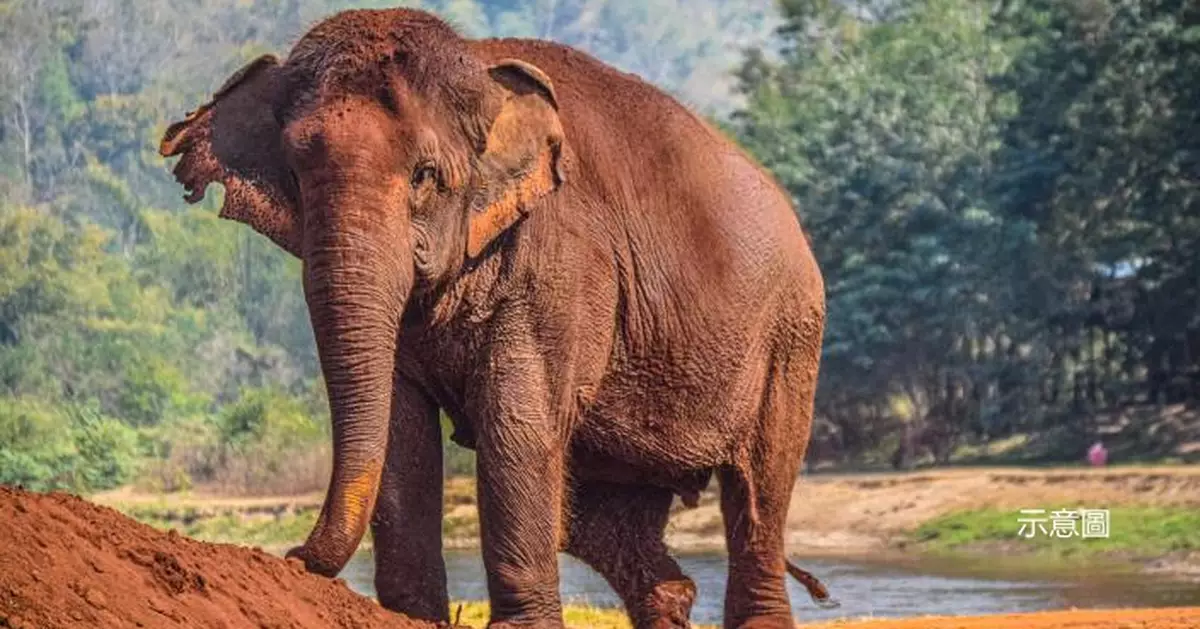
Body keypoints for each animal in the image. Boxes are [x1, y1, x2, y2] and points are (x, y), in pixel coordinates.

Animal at [159, 8, 835, 629]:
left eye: (424, 176)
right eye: (296, 175)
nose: (293, 556)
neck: (479, 69)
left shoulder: (562, 262)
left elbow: (516, 424)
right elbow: (403, 429)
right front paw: (414, 617)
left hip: (790, 337)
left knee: (758, 490)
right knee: (607, 523)